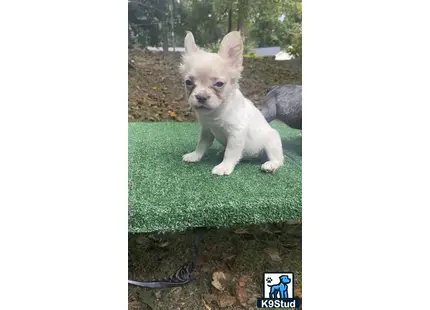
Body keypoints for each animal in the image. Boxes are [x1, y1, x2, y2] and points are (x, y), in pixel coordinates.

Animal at [180, 31, 284, 177]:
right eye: (188, 82)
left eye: (219, 84)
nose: (201, 96)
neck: (216, 112)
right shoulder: (207, 130)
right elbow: (201, 145)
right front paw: (195, 155)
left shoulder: (236, 134)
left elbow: (231, 152)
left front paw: (224, 166)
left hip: (271, 142)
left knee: (279, 159)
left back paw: (271, 165)